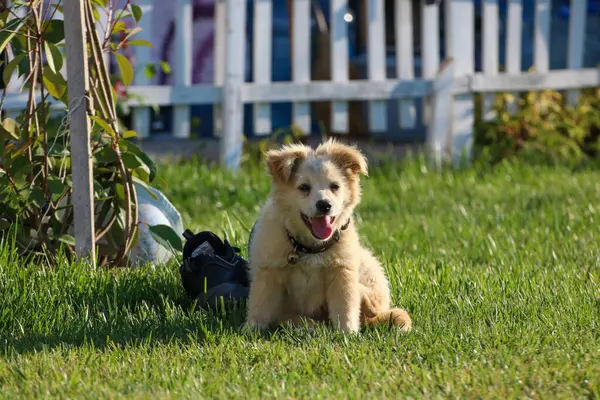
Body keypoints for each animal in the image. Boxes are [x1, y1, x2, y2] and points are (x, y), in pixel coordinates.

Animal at [243, 139, 408, 332]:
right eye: (304, 187)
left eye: (335, 186)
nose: (324, 205)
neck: (311, 248)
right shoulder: (268, 271)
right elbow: (260, 304)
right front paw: (251, 330)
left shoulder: (342, 271)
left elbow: (345, 306)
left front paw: (347, 333)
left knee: (370, 306)